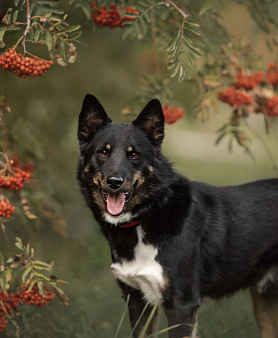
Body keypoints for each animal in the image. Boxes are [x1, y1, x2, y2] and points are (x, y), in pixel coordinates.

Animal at [77, 94, 278, 338]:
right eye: (103, 152)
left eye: (134, 154)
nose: (114, 182)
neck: (151, 213)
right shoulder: (138, 301)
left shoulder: (182, 305)